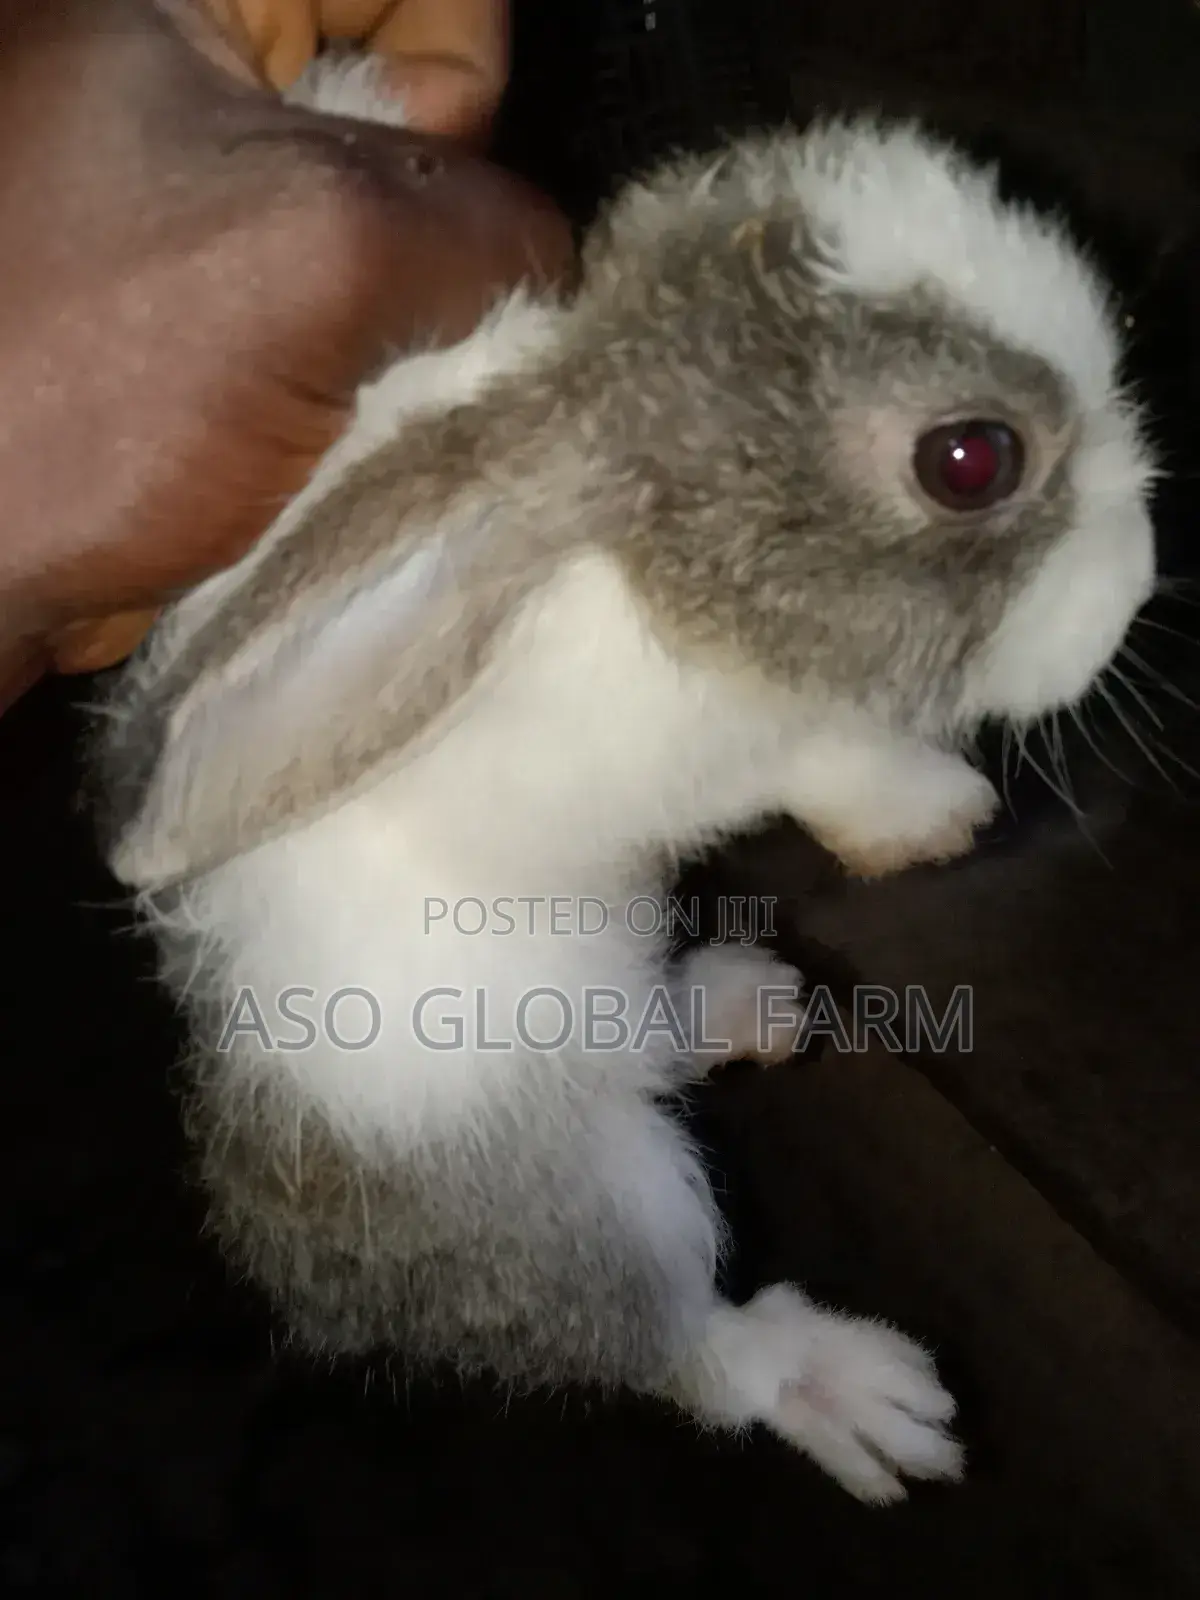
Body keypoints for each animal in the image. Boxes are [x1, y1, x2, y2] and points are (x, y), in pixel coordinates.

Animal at [90, 54, 1157, 1505]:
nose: (1143, 573)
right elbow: (841, 756)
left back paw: (746, 1004)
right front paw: (936, 815)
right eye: (970, 459)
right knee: (682, 1337)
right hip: (583, 1189)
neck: (645, 556)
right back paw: (856, 1393)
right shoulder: (742, 744)